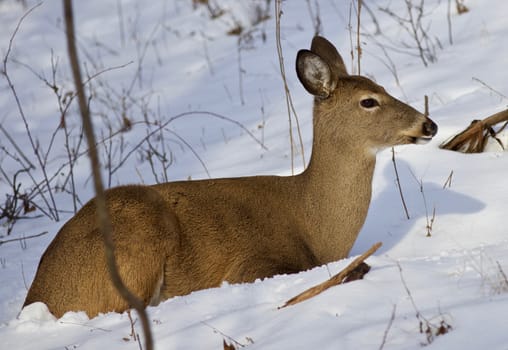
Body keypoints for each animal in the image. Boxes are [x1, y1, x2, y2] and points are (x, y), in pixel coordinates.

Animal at [22, 35, 436, 318]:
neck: (315, 225)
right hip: (137, 238)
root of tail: (38, 295)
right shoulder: (251, 266)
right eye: (369, 101)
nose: (428, 124)